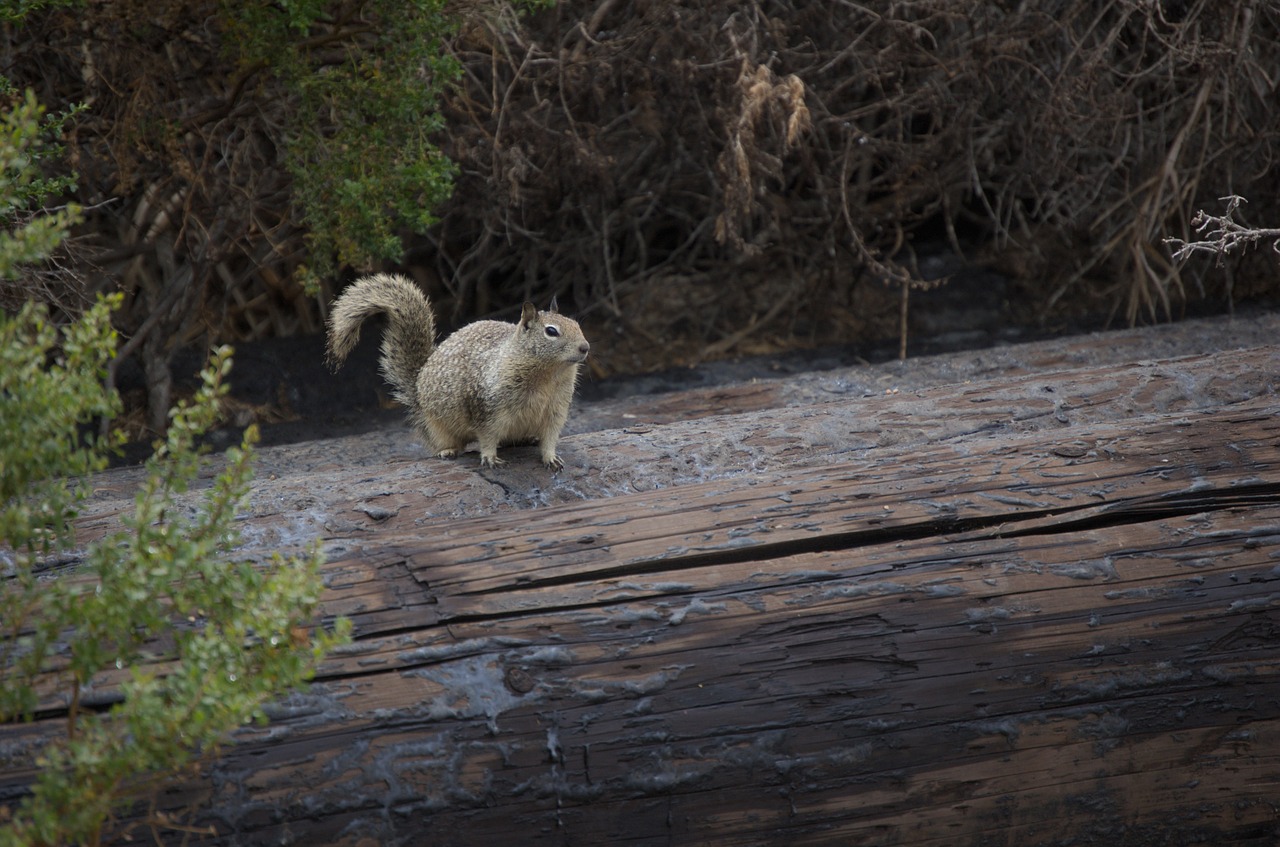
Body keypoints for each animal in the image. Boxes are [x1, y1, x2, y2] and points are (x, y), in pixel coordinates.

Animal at [327, 273, 591, 468]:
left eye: (577, 324)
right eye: (551, 331)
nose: (585, 347)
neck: (548, 375)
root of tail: (417, 386)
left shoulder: (556, 410)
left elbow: (550, 437)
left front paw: (551, 457)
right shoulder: (486, 408)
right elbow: (487, 435)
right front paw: (490, 457)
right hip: (436, 425)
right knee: (446, 443)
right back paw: (448, 451)